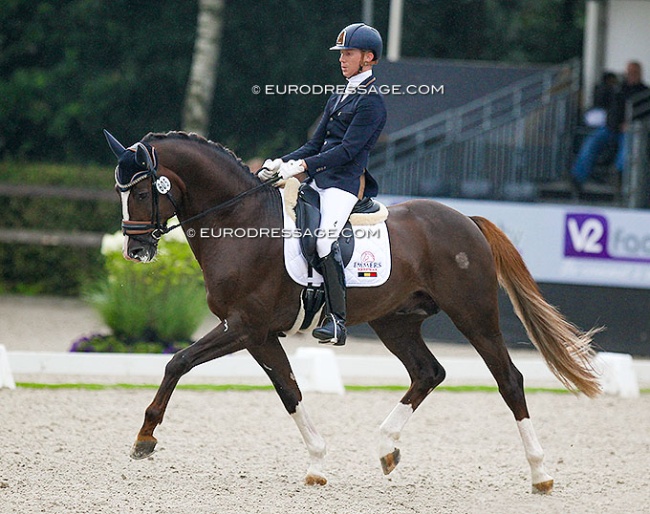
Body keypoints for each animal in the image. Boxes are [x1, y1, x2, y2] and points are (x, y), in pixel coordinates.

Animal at [104, 130, 601, 493]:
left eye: (142, 192)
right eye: (119, 191)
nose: (135, 250)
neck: (240, 222)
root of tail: (467, 221)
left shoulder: (244, 326)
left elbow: (178, 361)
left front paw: (144, 439)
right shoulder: (257, 333)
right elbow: (288, 389)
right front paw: (317, 463)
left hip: (473, 315)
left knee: (508, 380)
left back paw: (540, 474)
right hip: (394, 321)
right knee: (428, 372)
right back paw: (386, 448)